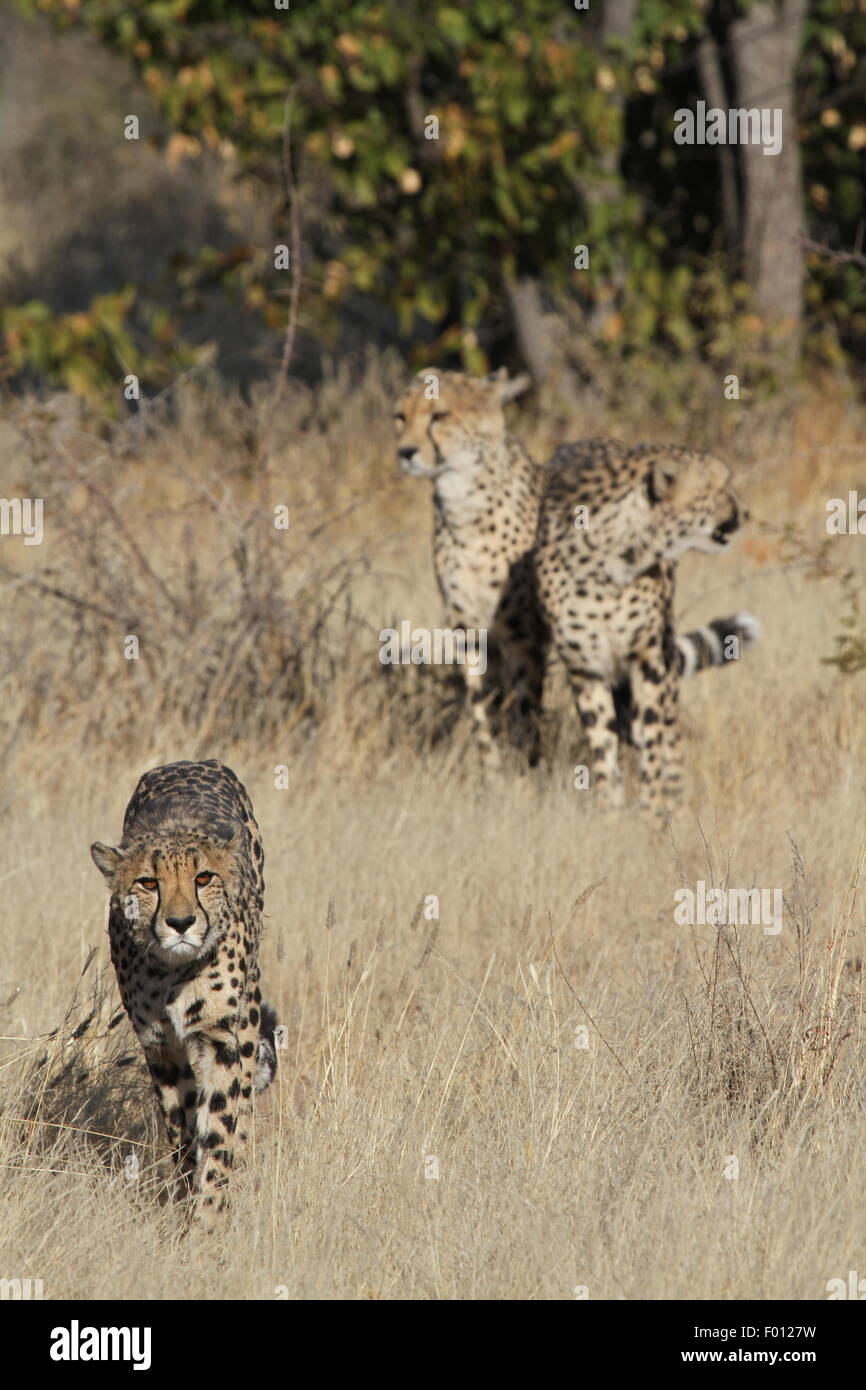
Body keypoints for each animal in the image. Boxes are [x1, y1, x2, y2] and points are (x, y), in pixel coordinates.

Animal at [88, 761, 278, 1217]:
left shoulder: (222, 1039)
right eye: (148, 883)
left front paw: (208, 1215)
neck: (172, 970)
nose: (180, 923)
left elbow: (220, 1129)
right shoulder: (160, 1045)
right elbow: (182, 1130)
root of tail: (192, 762)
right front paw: (186, 1195)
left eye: (203, 878)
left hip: (248, 1018)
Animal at [391, 369, 756, 778]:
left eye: (440, 415)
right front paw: (494, 776)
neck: (465, 507)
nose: (405, 452)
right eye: (400, 417)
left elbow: (524, 710)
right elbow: (483, 713)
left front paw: (526, 771)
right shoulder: (470, 632)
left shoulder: (526, 635)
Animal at [539, 439, 761, 811]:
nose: (746, 514)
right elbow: (603, 747)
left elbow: (654, 742)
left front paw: (657, 812)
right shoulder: (585, 666)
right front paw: (611, 812)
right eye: (717, 489)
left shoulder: (650, 658)